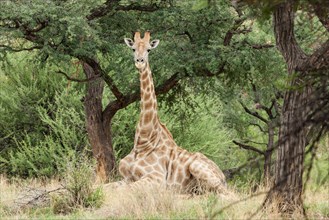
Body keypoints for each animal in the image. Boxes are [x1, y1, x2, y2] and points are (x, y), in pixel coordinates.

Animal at [118, 31, 228, 194]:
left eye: (149, 50)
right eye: (133, 49)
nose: (140, 61)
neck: (144, 140)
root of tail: (223, 176)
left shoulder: (156, 179)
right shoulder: (125, 177)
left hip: (198, 168)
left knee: (229, 194)